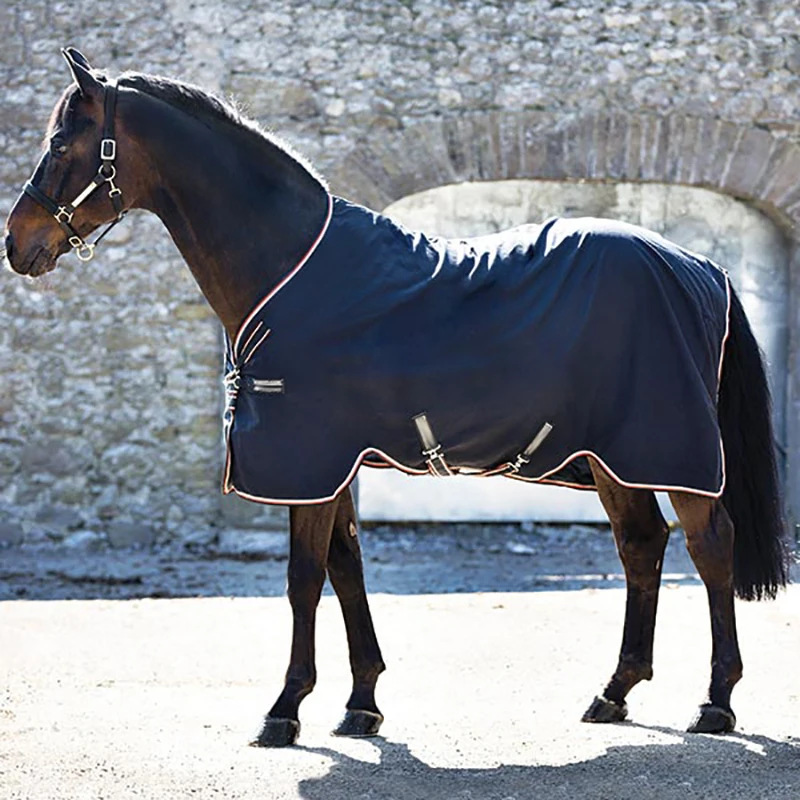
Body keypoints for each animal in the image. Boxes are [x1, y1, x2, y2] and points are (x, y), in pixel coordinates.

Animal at [3, 49, 790, 747]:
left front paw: (284, 710)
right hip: (612, 459)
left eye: (63, 141)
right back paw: (613, 693)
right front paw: (361, 704)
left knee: (709, 547)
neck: (290, 268)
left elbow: (303, 579)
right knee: (641, 545)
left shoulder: (309, 462)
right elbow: (345, 571)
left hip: (669, 452)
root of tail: (700, 266)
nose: (16, 243)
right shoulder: (333, 466)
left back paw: (716, 702)